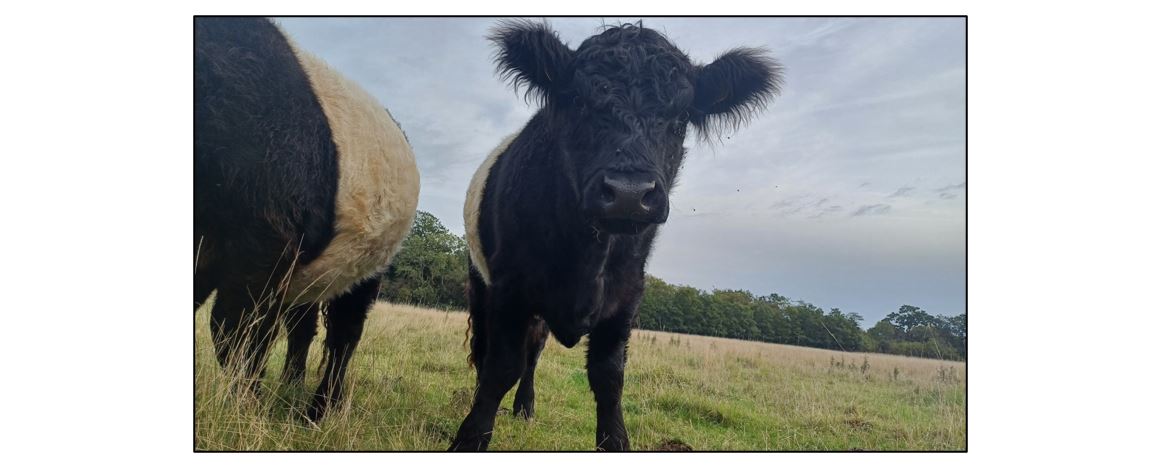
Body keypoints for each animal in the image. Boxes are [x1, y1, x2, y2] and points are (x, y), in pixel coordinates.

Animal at [194, 17, 420, 423]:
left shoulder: (268, 241)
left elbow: (236, 330)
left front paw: (245, 410)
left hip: (369, 267)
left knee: (344, 333)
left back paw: (319, 409)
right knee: (302, 324)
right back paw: (291, 386)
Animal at [452, 20, 782, 451]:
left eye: (682, 116)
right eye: (577, 100)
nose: (628, 193)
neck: (586, 255)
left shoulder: (627, 297)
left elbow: (609, 378)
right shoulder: (510, 287)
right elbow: (499, 367)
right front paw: (469, 436)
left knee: (534, 352)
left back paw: (525, 407)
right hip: (480, 283)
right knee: (488, 349)